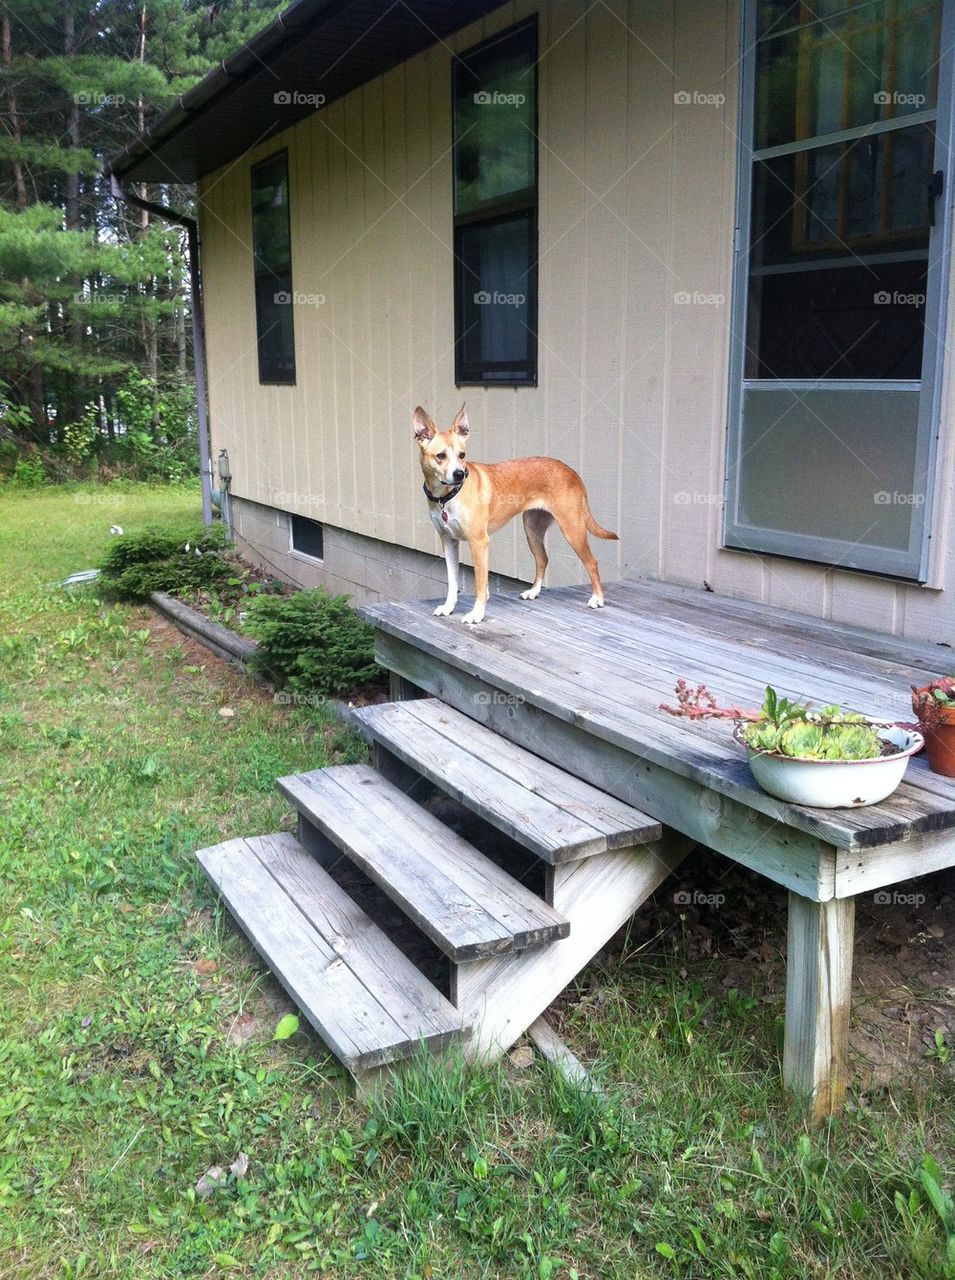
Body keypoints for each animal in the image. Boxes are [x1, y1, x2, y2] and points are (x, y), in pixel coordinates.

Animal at [412, 404, 617, 624]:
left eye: (462, 455)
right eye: (440, 456)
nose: (460, 474)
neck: (447, 496)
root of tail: (571, 471)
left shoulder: (479, 542)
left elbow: (480, 584)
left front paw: (477, 613)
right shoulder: (449, 541)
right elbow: (453, 582)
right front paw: (448, 607)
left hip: (573, 529)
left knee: (591, 562)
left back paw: (597, 598)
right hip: (532, 530)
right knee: (543, 559)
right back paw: (533, 591)